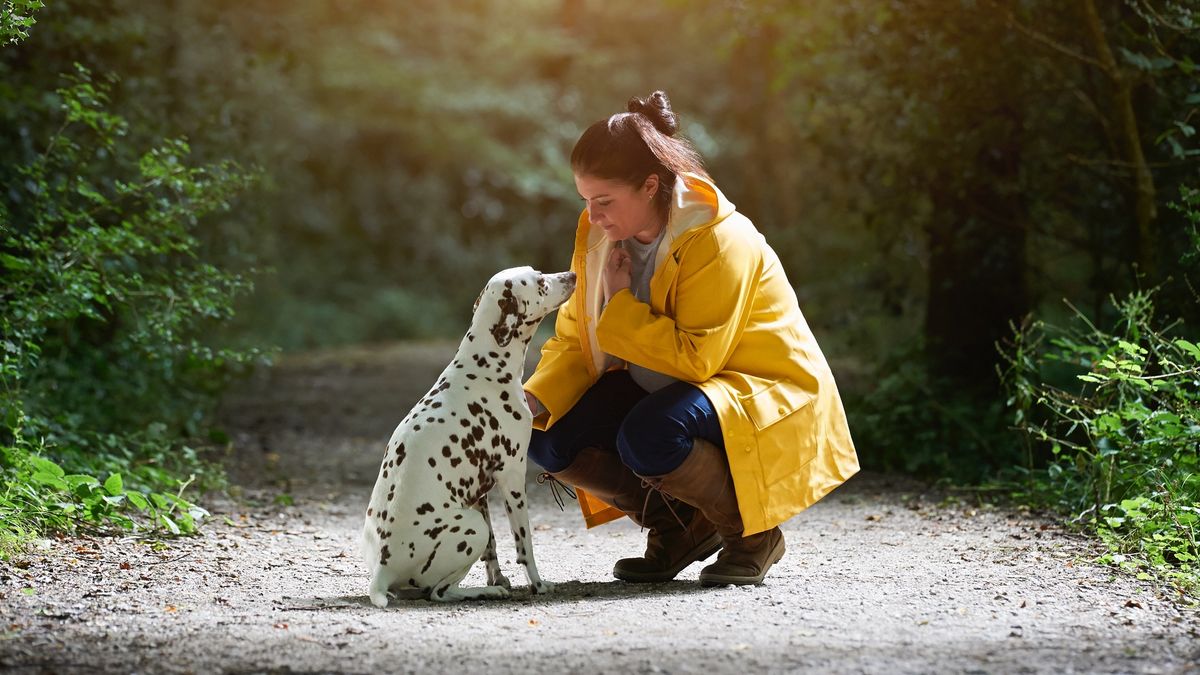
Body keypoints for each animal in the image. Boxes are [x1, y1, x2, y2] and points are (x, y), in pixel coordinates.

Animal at [360, 265, 576, 600]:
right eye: (540, 282)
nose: (572, 275)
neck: (485, 367)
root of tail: (382, 572)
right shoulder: (512, 478)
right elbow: (524, 544)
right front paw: (538, 585)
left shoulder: (479, 494)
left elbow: (493, 550)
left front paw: (498, 577)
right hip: (474, 528)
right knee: (439, 592)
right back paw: (484, 592)